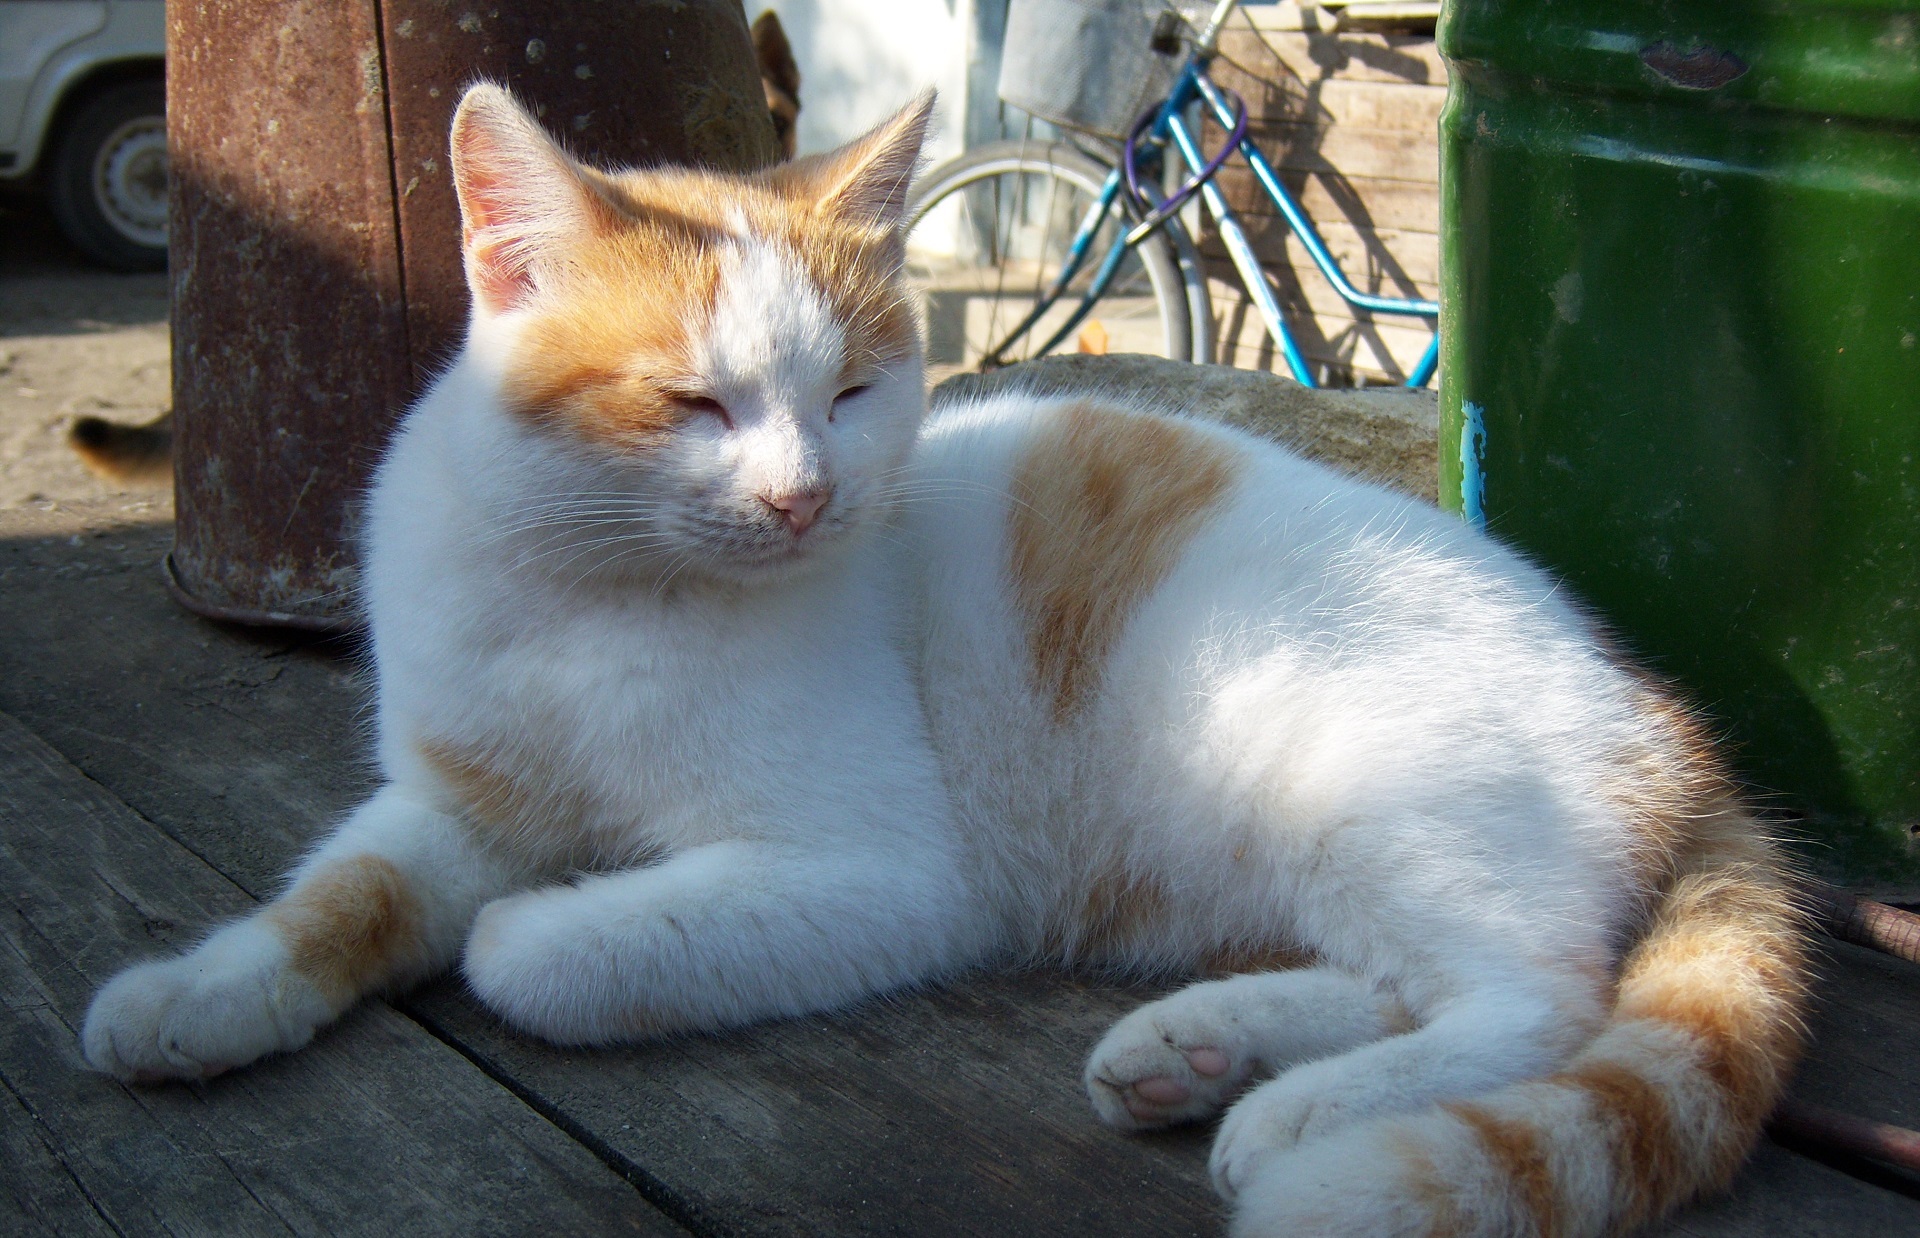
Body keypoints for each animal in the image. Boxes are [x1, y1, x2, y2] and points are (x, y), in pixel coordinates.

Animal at [78, 89, 1812, 1236]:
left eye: (851, 390)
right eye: (694, 403)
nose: (804, 496)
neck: (596, 593)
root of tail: (1659, 707)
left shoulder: (883, 873)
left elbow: (532, 950)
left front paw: (544, 925)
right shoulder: (451, 802)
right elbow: (340, 893)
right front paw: (195, 996)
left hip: (1371, 787)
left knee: (1537, 1001)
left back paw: (1303, 1119)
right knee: (1406, 978)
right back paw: (1198, 1047)